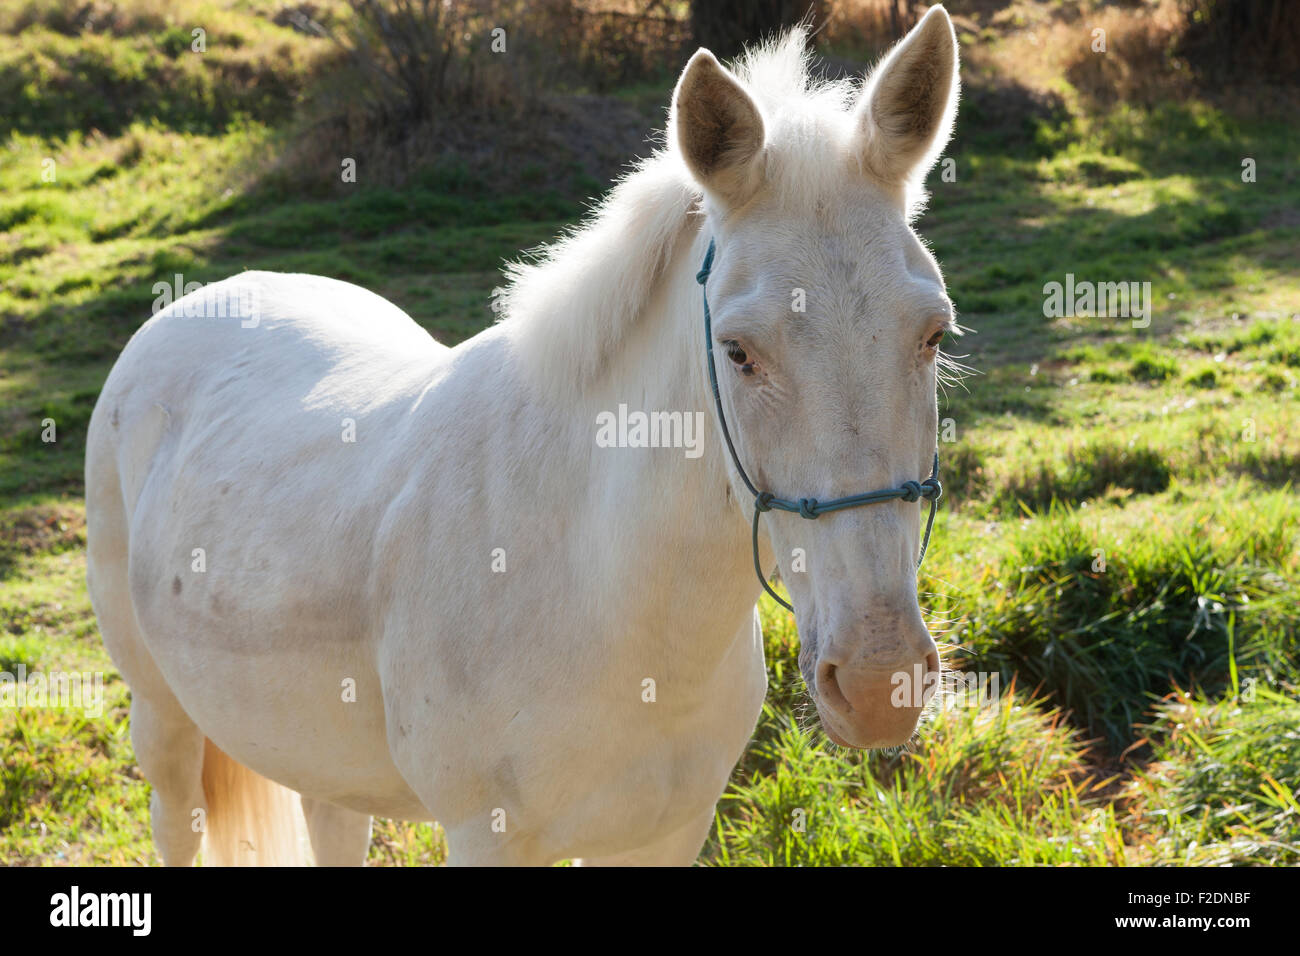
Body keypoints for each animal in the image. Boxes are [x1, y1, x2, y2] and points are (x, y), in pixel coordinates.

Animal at [84, 5, 961, 866]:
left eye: (933, 335)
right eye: (739, 351)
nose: (880, 682)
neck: (603, 596)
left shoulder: (666, 834)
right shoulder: (487, 836)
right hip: (162, 721)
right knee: (175, 822)